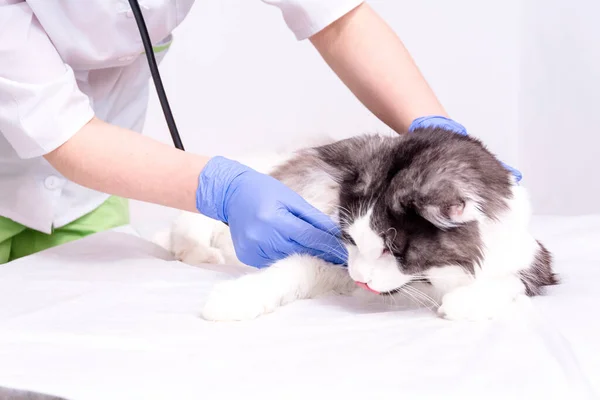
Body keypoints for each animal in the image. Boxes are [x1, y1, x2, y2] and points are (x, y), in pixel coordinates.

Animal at [155, 128, 556, 322]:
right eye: (350, 238)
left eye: (393, 249)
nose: (361, 279)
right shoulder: (333, 257)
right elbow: (288, 270)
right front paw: (231, 300)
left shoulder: (536, 259)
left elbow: (511, 280)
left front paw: (465, 302)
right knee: (188, 223)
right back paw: (202, 253)